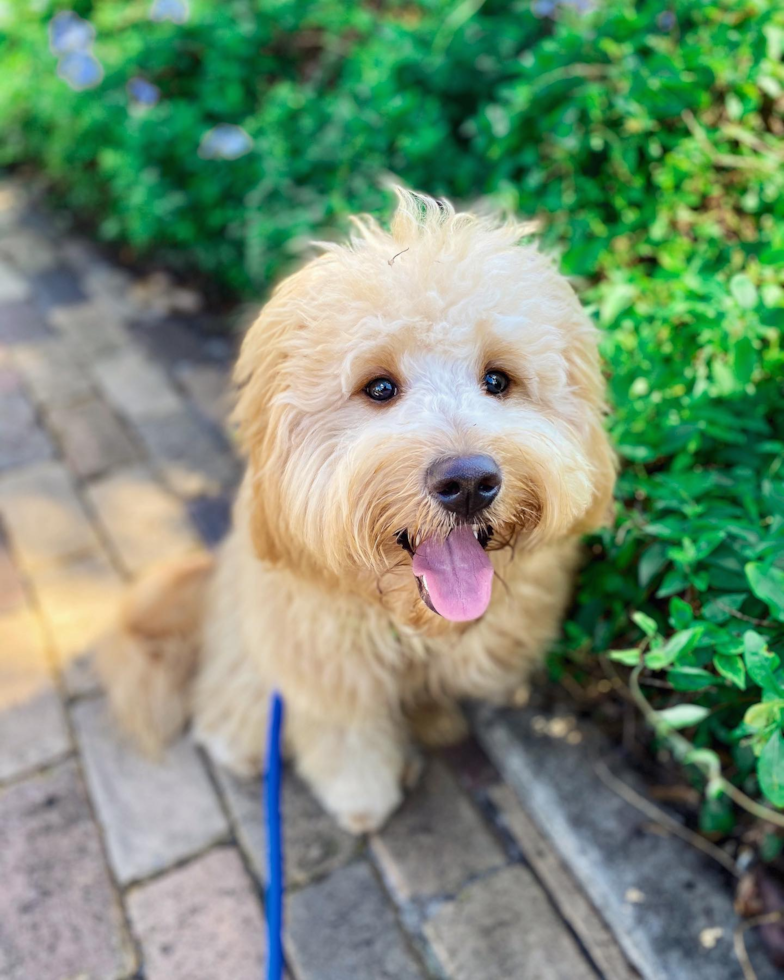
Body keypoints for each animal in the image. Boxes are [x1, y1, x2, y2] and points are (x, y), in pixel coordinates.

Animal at [98, 189, 616, 836]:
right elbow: (345, 738)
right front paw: (363, 799)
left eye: (498, 380)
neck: (406, 622)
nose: (469, 483)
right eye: (379, 388)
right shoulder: (319, 659)